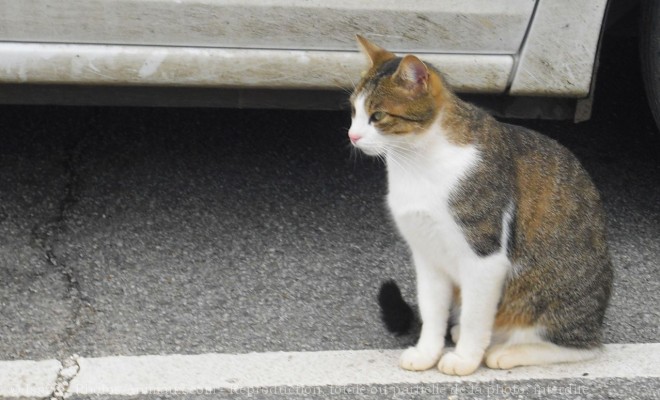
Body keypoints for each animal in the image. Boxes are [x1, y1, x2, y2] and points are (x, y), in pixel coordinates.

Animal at [350, 36, 612, 376]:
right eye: (353, 111)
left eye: (378, 116)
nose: (352, 135)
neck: (417, 163)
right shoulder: (427, 255)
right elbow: (432, 311)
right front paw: (426, 352)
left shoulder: (484, 258)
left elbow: (477, 317)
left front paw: (464, 359)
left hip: (552, 292)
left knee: (581, 347)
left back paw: (507, 352)